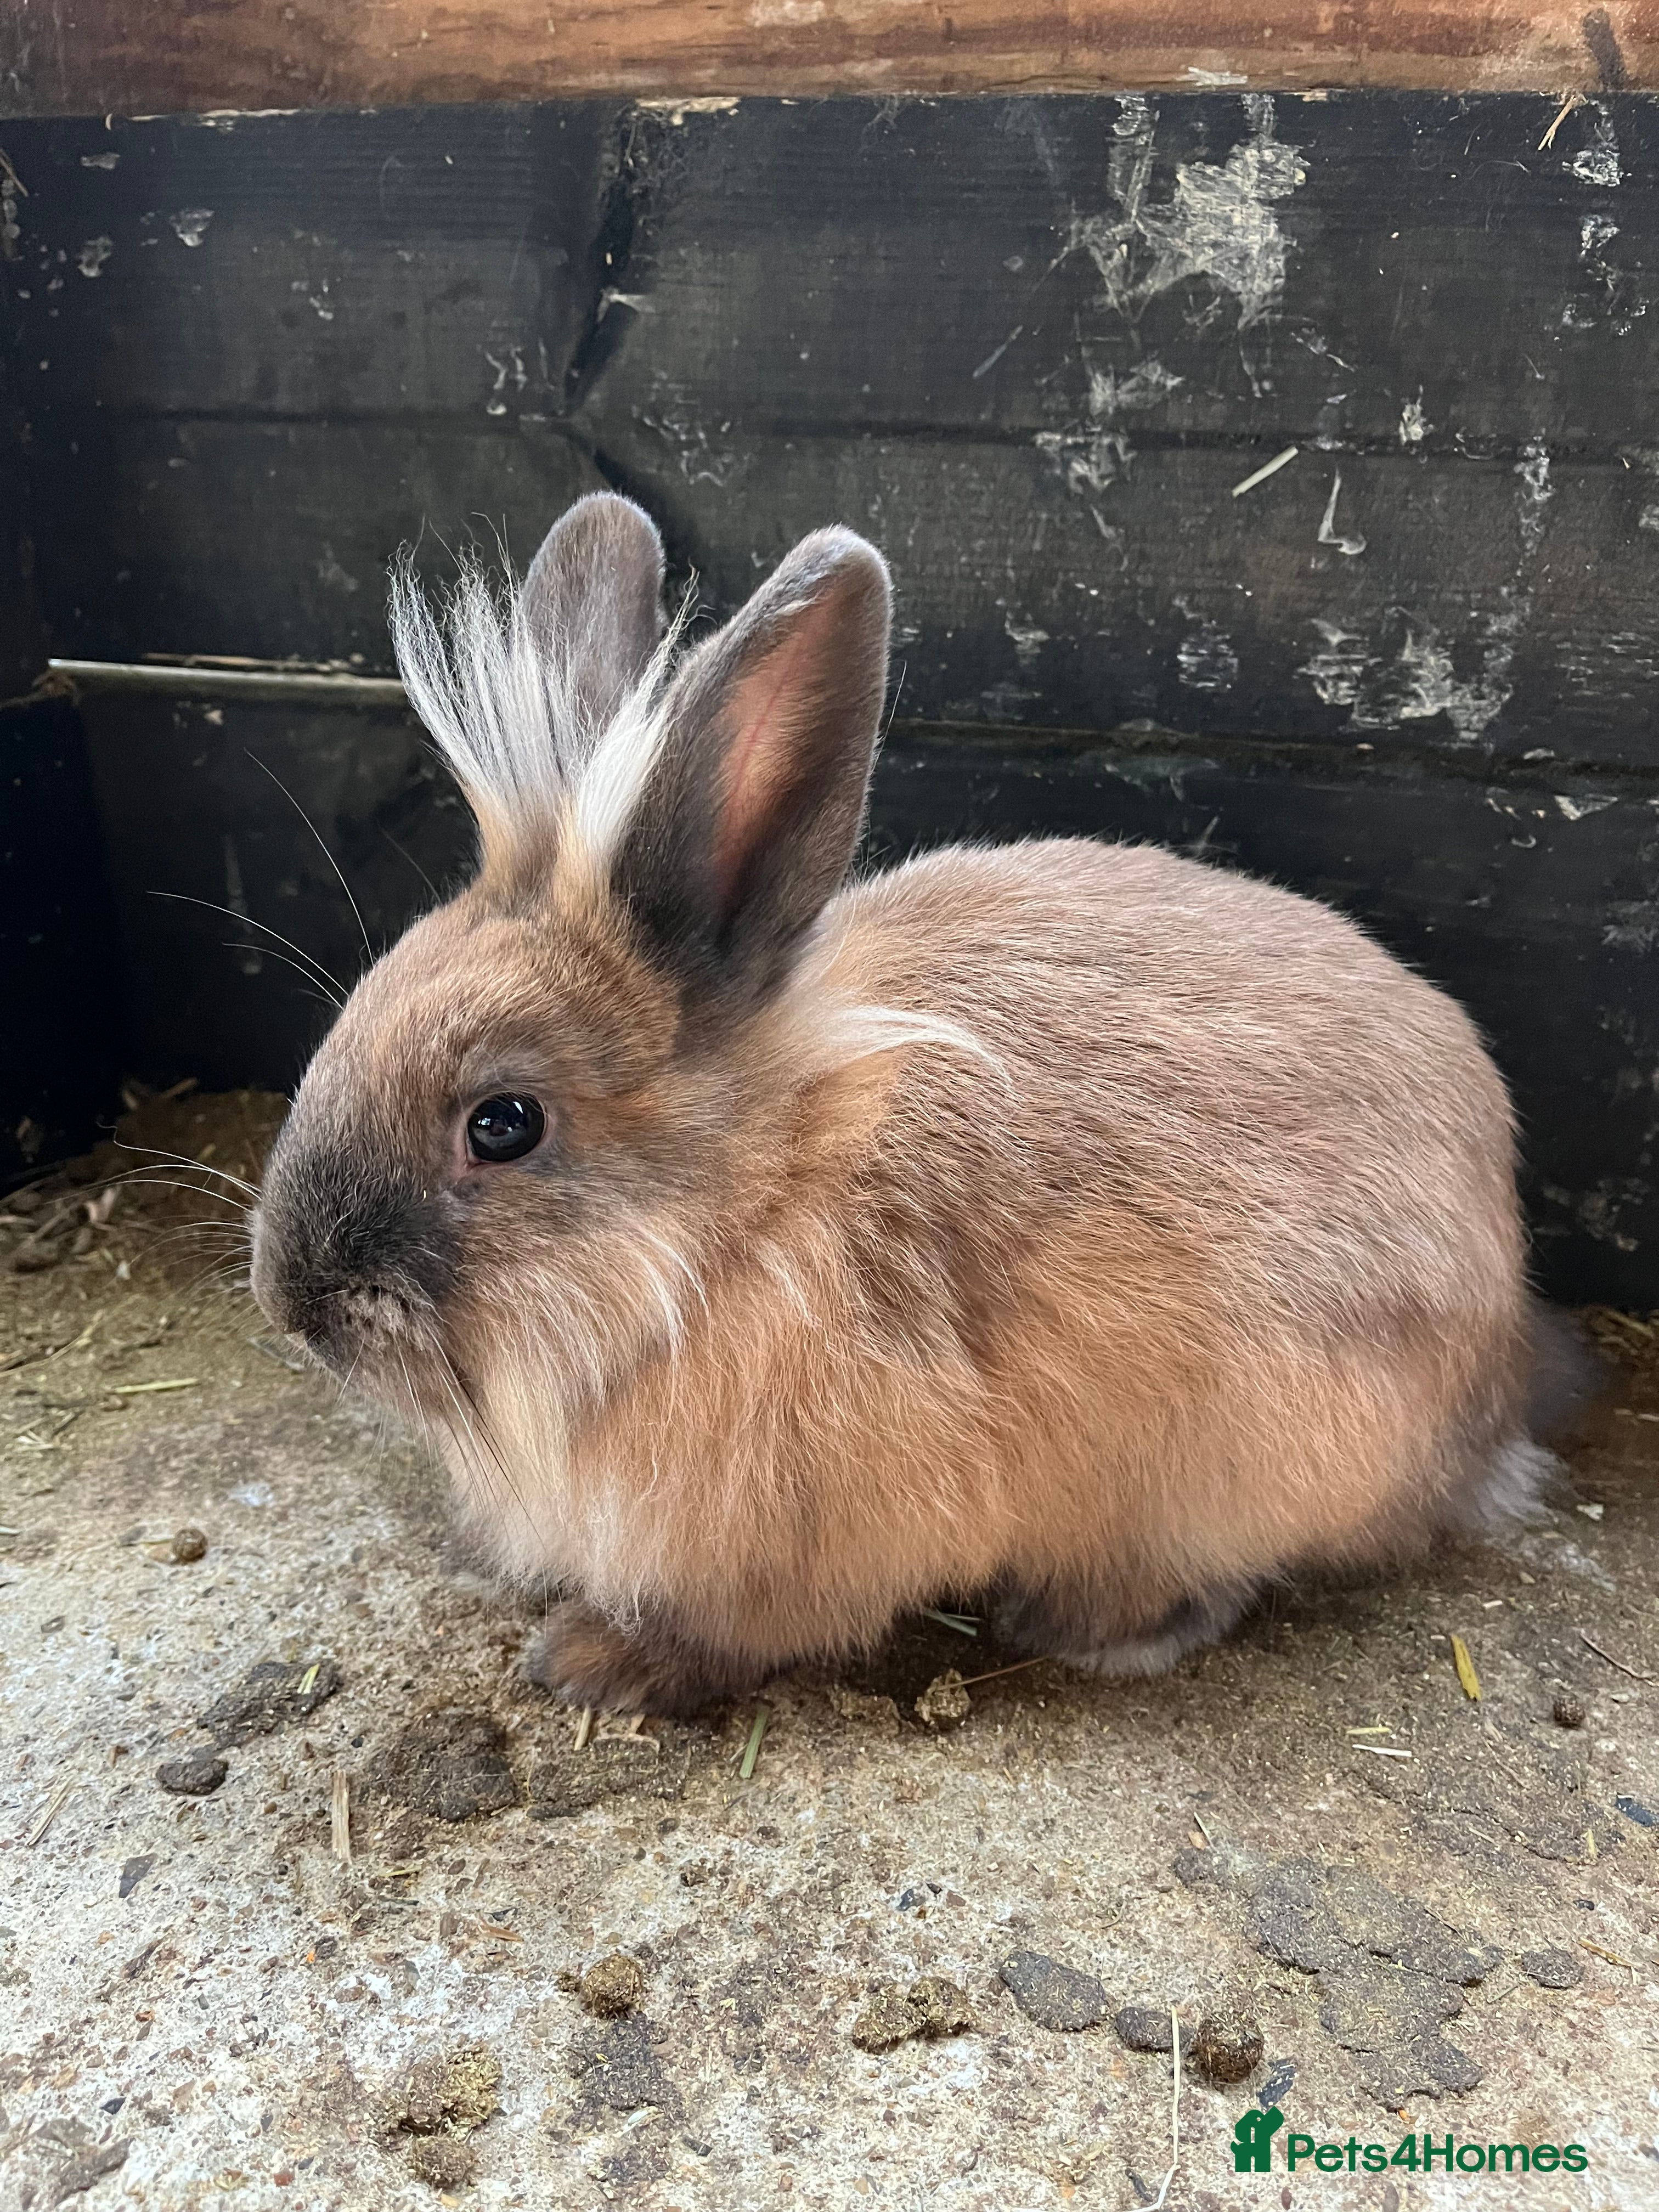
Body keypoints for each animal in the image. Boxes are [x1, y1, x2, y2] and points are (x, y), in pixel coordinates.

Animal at [251, 490, 1560, 1715]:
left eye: (504, 1124)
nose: (292, 1302)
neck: (741, 1223)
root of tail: (1497, 1386)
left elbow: (729, 1632)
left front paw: (592, 1662)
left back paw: (1089, 1629)